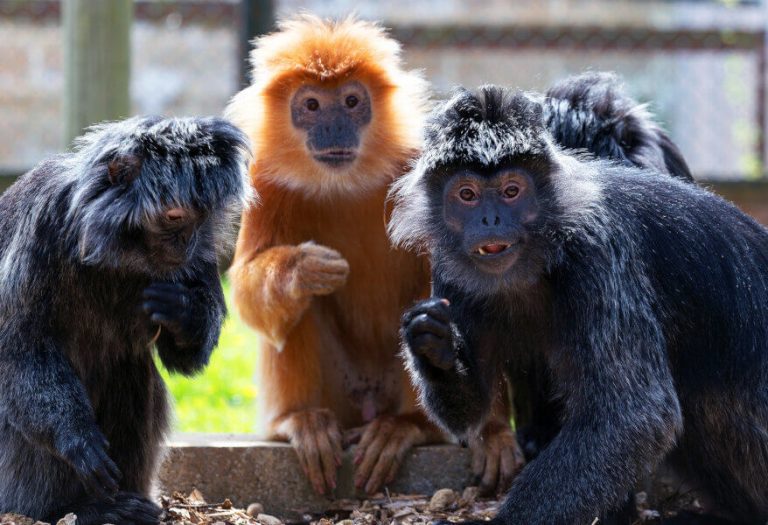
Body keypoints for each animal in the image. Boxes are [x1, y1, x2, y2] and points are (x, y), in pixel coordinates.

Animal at [0, 116, 250, 524]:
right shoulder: (43, 221)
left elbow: (182, 359)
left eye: (202, 220)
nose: (187, 245)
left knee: (129, 368)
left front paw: (184, 313)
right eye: (175, 217)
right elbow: (20, 347)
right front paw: (77, 437)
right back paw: (71, 508)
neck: (117, 251)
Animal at [390, 86, 768, 524]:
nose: (489, 220)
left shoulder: (599, 246)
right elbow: (471, 411)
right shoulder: (449, 268)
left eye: (512, 191)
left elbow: (635, 417)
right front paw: (432, 345)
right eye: (466, 195)